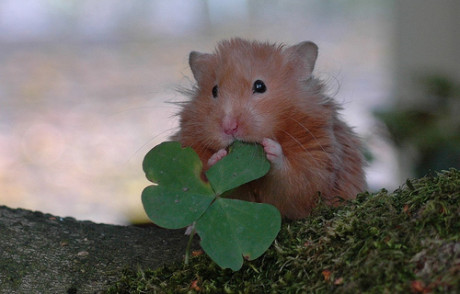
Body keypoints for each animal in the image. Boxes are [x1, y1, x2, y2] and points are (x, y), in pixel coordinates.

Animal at [172, 38, 366, 219]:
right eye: (214, 90)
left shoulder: (318, 159)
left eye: (260, 86)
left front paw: (270, 148)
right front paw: (218, 157)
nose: (229, 127)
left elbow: (299, 182)